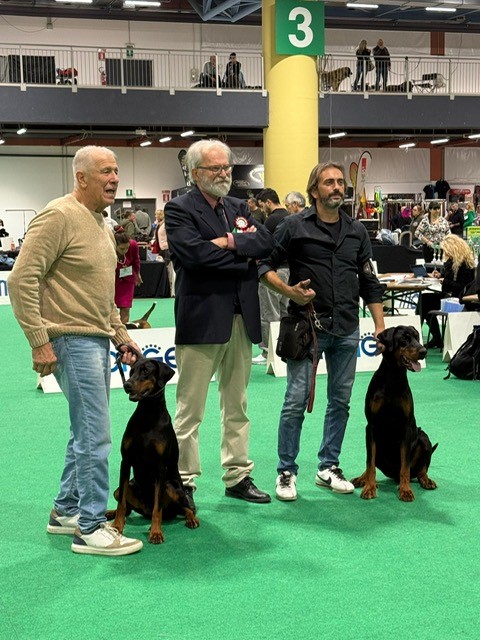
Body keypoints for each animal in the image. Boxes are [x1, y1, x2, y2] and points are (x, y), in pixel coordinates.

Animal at [108, 352, 199, 543]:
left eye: (145, 371)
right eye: (132, 371)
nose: (127, 385)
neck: (148, 414)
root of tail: (145, 510)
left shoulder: (160, 466)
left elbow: (158, 507)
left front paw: (156, 532)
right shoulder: (126, 461)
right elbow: (122, 505)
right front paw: (117, 526)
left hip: (172, 487)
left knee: (183, 508)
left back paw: (190, 519)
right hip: (123, 489)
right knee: (126, 506)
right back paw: (109, 514)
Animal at [351, 326, 437, 502]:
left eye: (417, 337)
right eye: (404, 339)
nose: (423, 351)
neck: (393, 378)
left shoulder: (406, 427)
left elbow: (405, 466)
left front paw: (405, 490)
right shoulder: (371, 427)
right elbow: (370, 463)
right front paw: (369, 488)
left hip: (423, 438)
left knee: (420, 469)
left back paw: (426, 480)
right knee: (371, 463)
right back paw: (362, 479)